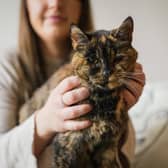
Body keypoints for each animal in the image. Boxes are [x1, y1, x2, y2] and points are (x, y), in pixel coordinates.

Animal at [19, 16, 138, 167]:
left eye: (118, 58)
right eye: (92, 59)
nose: (106, 72)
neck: (103, 101)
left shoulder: (108, 148)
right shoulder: (67, 145)